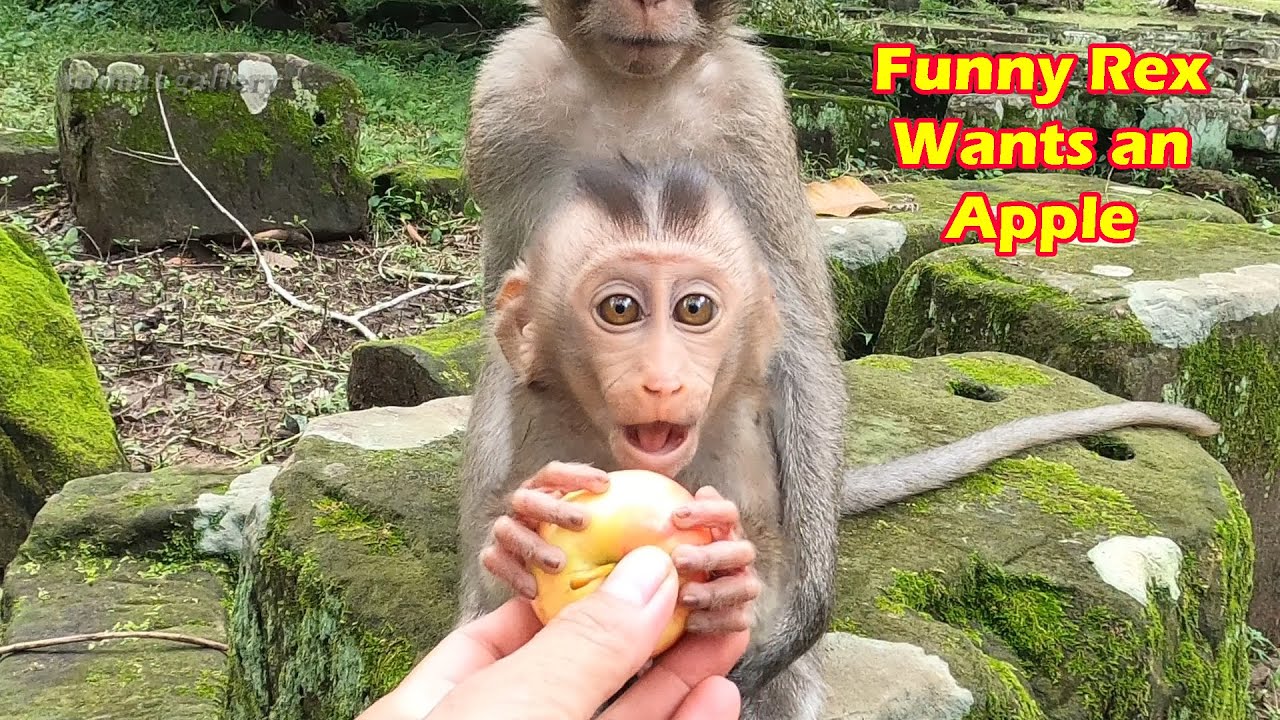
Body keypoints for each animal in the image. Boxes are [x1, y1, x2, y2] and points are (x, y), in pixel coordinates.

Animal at [457, 158, 1222, 720]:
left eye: (694, 309)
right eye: (620, 308)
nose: (662, 381)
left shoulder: (742, 425)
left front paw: (731, 579)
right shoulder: (524, 405)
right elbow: (490, 588)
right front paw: (518, 534)